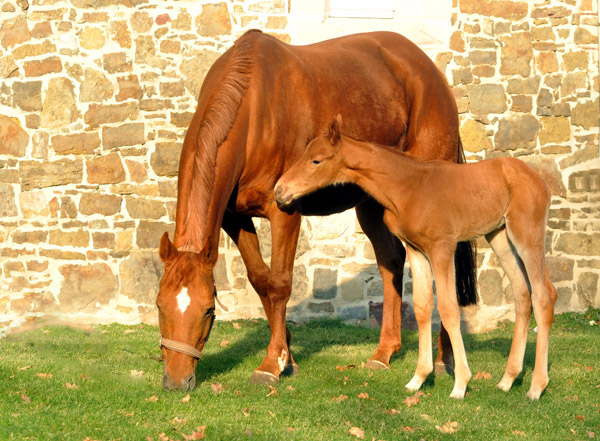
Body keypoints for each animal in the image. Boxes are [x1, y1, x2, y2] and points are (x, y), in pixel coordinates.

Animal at [276, 116, 556, 398]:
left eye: (316, 160)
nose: (280, 191)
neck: (409, 187)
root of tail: (539, 180)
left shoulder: (442, 248)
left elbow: (448, 308)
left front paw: (460, 384)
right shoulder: (416, 250)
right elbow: (422, 306)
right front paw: (418, 379)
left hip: (526, 235)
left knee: (544, 295)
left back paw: (536, 387)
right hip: (500, 237)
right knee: (522, 295)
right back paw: (508, 379)